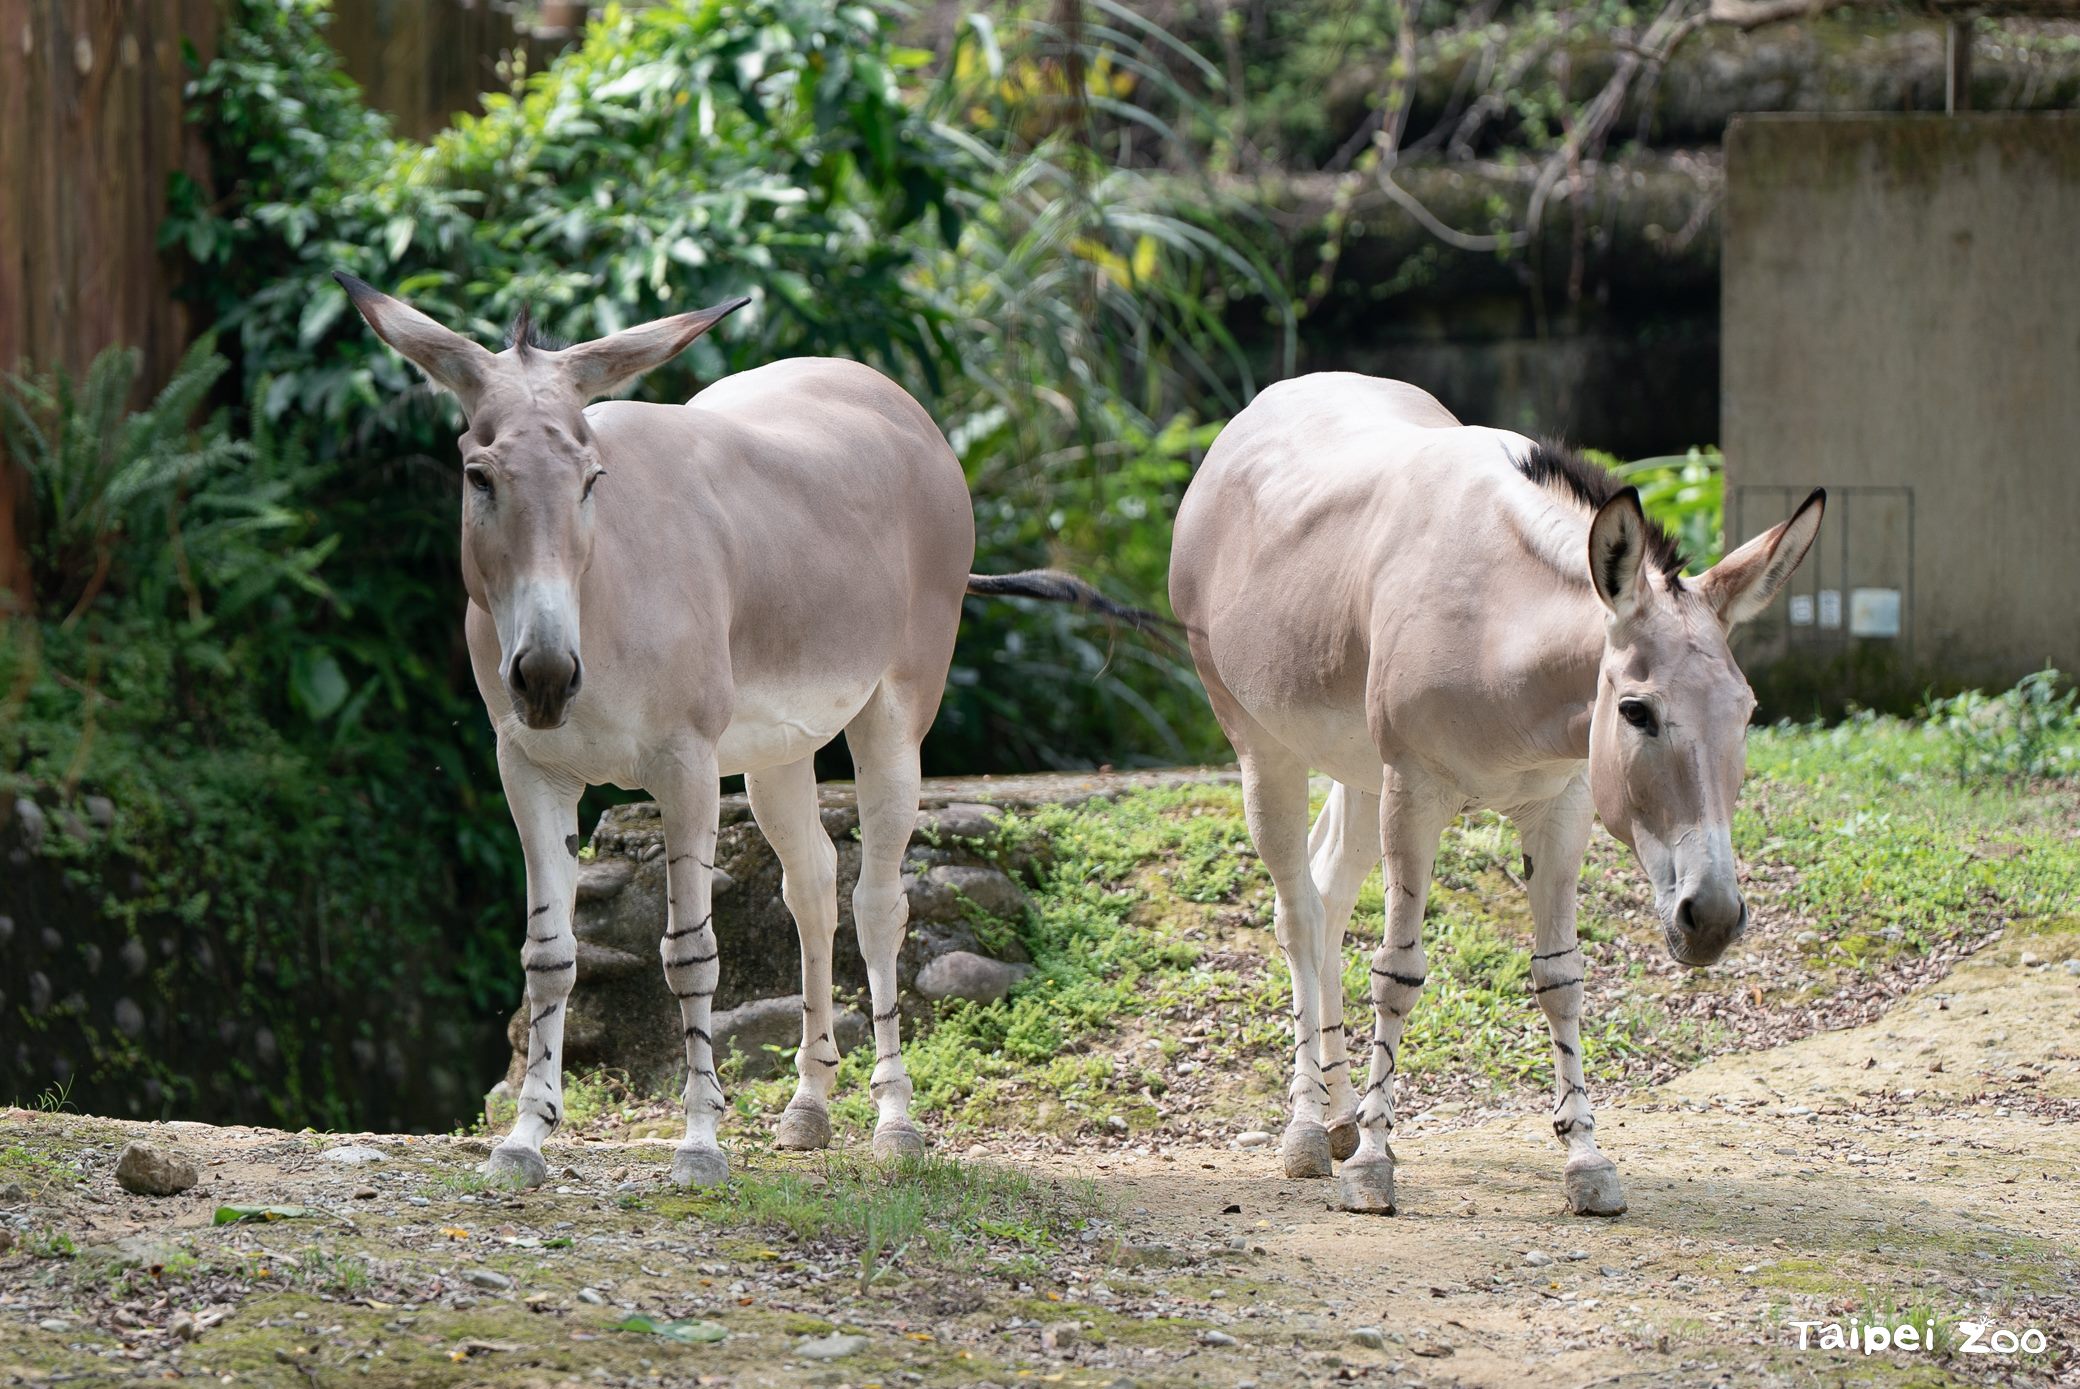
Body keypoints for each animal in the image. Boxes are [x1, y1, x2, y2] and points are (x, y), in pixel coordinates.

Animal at [338, 274, 1154, 1187]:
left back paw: (895, 1122)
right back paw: (808, 1106)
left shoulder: (686, 765)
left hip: (894, 717)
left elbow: (691, 952)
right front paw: (523, 1139)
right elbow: (548, 955)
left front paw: (699, 1144)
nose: (546, 676)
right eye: (479, 476)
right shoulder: (529, 768)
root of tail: (892, 399)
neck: (604, 590)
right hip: (777, 750)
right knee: (813, 885)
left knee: (878, 902)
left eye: (591, 479)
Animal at [1169, 373, 1822, 1216]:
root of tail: (1256, 411)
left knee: (1329, 895)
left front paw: (1586, 1160)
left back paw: (1341, 1112)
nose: (1709, 920)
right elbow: (1398, 973)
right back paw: (1312, 1130)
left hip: (1356, 768)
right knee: (1300, 915)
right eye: (1636, 711)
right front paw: (1374, 1166)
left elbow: (1561, 977)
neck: (1499, 628)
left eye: (1747, 713)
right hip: (1265, 748)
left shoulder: (1563, 803)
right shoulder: (1414, 792)